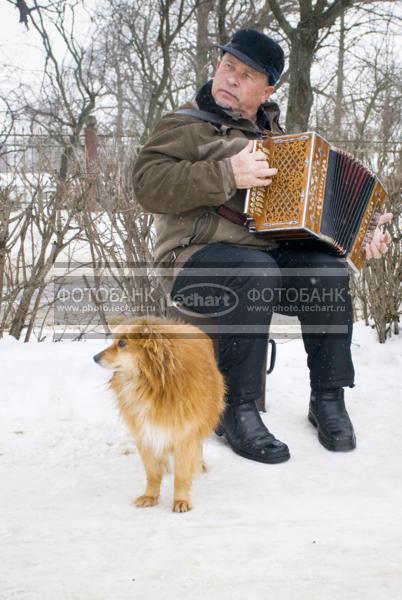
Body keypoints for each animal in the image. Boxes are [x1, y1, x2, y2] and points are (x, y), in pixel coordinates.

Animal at [94, 316, 226, 512]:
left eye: (122, 343)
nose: (94, 357)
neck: (151, 385)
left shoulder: (184, 435)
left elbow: (181, 476)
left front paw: (181, 500)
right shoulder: (145, 435)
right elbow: (152, 473)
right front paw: (150, 496)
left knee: (199, 446)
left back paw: (198, 464)